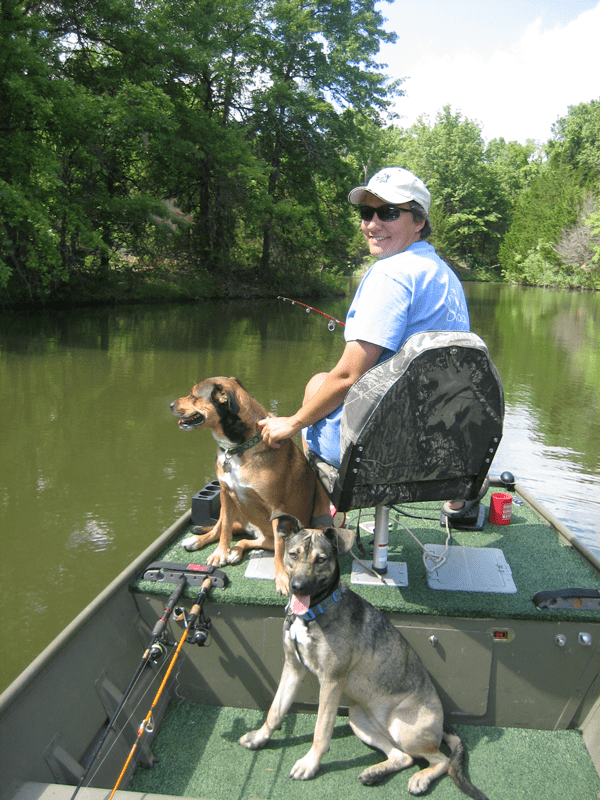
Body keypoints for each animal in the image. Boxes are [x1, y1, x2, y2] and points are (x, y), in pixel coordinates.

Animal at [169, 376, 328, 592]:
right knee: (219, 529)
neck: (238, 448)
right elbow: (224, 531)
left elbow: (279, 551)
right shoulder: (225, 494)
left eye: (193, 395)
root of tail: (252, 529)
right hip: (228, 508)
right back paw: (198, 541)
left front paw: (282, 578)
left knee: (250, 541)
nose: (170, 405)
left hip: (265, 537)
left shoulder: (277, 508)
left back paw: (236, 551)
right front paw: (219, 554)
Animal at [238, 516, 488, 796]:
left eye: (321, 559)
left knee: (441, 760)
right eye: (293, 554)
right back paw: (374, 773)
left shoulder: (331, 681)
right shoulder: (293, 667)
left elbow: (321, 731)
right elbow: (275, 710)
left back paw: (420, 779)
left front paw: (310, 764)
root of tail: (441, 723)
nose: (297, 586)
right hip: (358, 719)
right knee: (403, 757)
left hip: (405, 729)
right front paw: (260, 737)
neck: (314, 612)